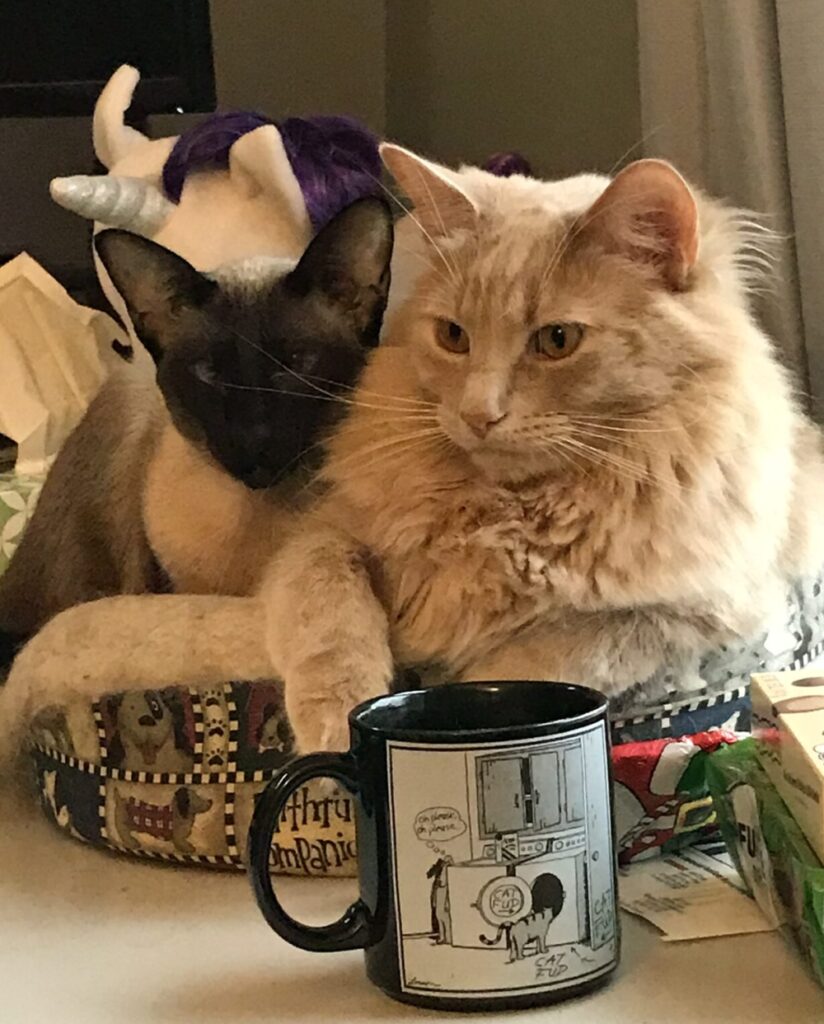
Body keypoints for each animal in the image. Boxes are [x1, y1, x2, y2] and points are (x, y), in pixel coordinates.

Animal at [259, 142, 822, 753]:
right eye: (453, 336)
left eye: (557, 340)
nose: (478, 415)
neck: (514, 512)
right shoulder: (324, 533)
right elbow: (331, 614)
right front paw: (334, 730)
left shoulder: (697, 611)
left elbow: (541, 655)